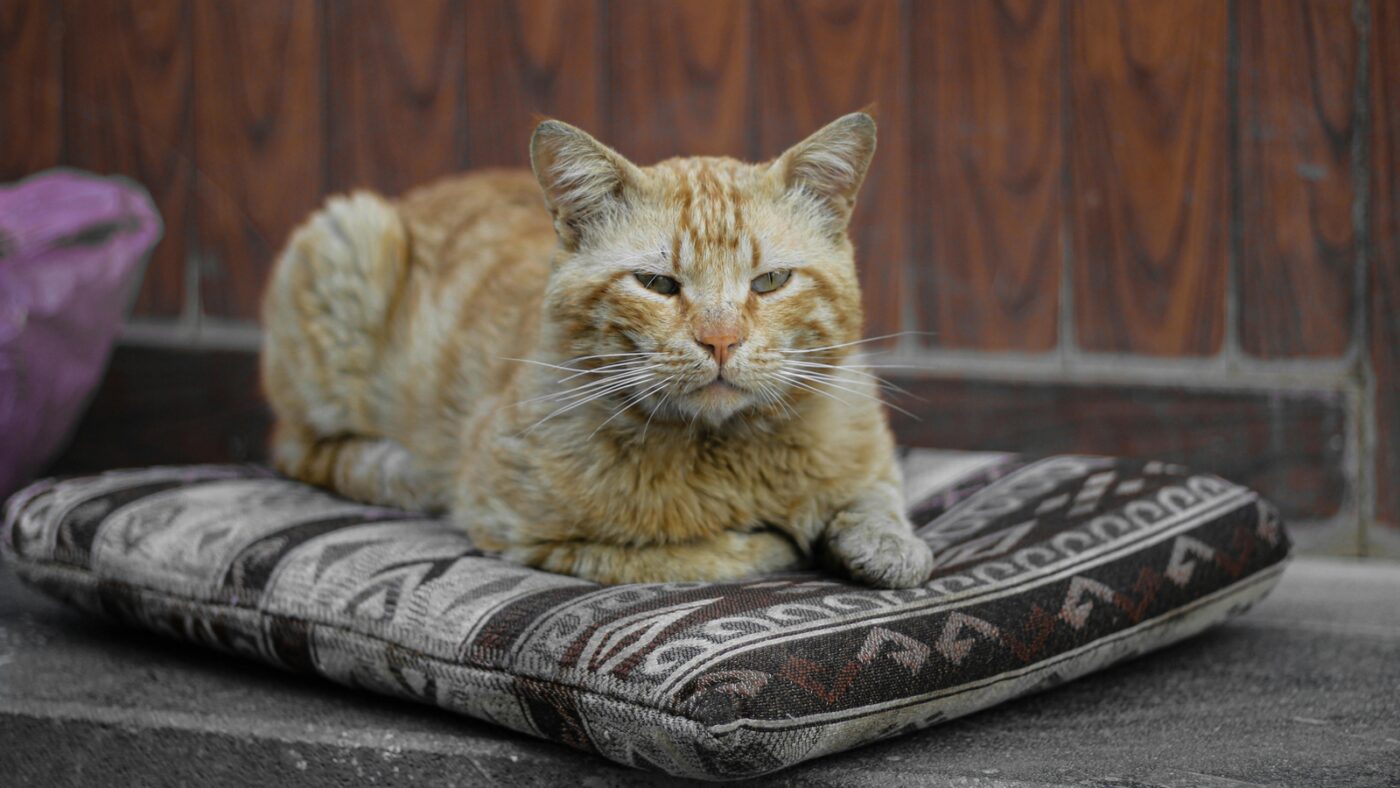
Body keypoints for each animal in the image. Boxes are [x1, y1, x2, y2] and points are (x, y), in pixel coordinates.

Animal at [263, 114, 940, 587]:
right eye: (658, 284)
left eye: (770, 281)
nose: (721, 339)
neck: (728, 455)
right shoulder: (516, 527)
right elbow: (705, 555)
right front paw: (776, 540)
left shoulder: (867, 450)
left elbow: (880, 500)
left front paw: (884, 543)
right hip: (348, 241)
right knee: (304, 450)